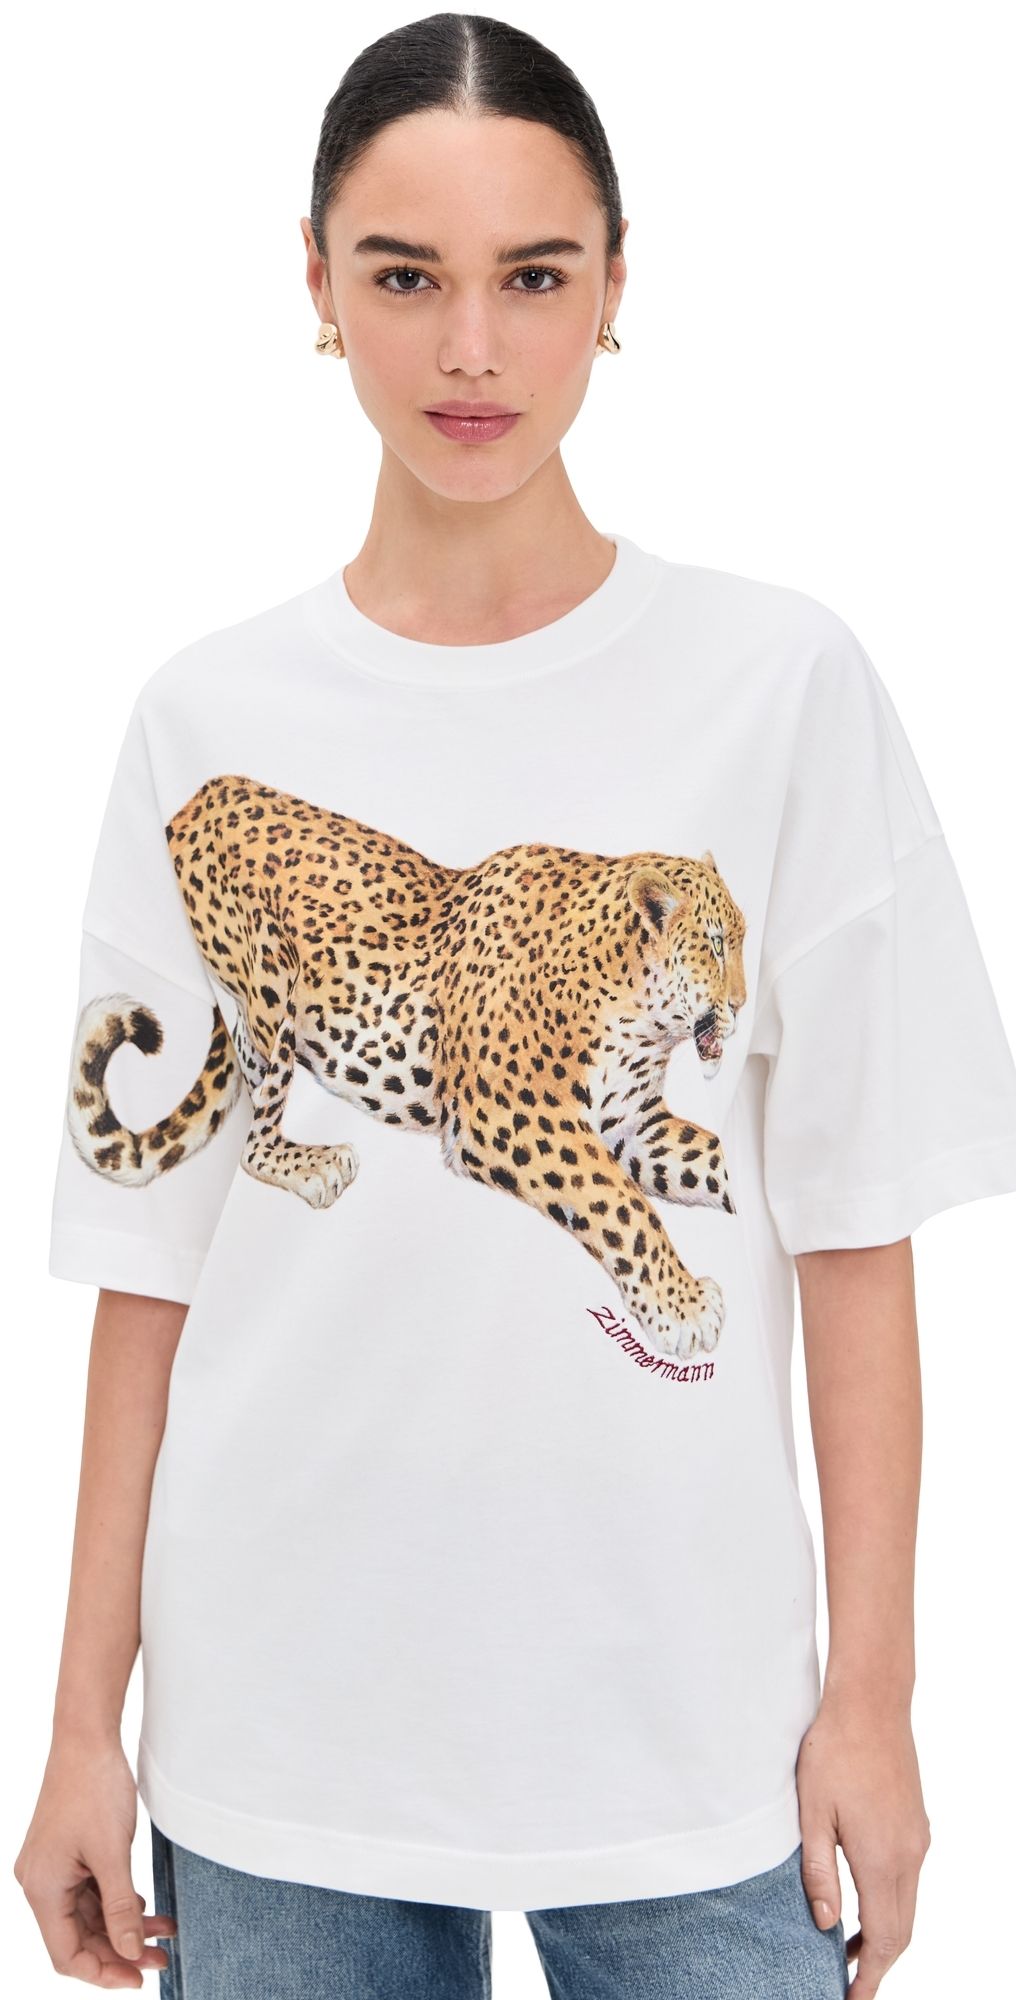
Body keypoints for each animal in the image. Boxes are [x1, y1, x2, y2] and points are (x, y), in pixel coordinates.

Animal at [70, 776, 747, 1359]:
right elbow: (621, 1206)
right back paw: (316, 1165)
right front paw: (684, 1306)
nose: (742, 1006)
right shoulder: (516, 1117)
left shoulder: (635, 1123)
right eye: (715, 945)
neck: (636, 1014)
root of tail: (196, 799)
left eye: (741, 941)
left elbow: (711, 1158)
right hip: (270, 985)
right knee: (253, 1141)